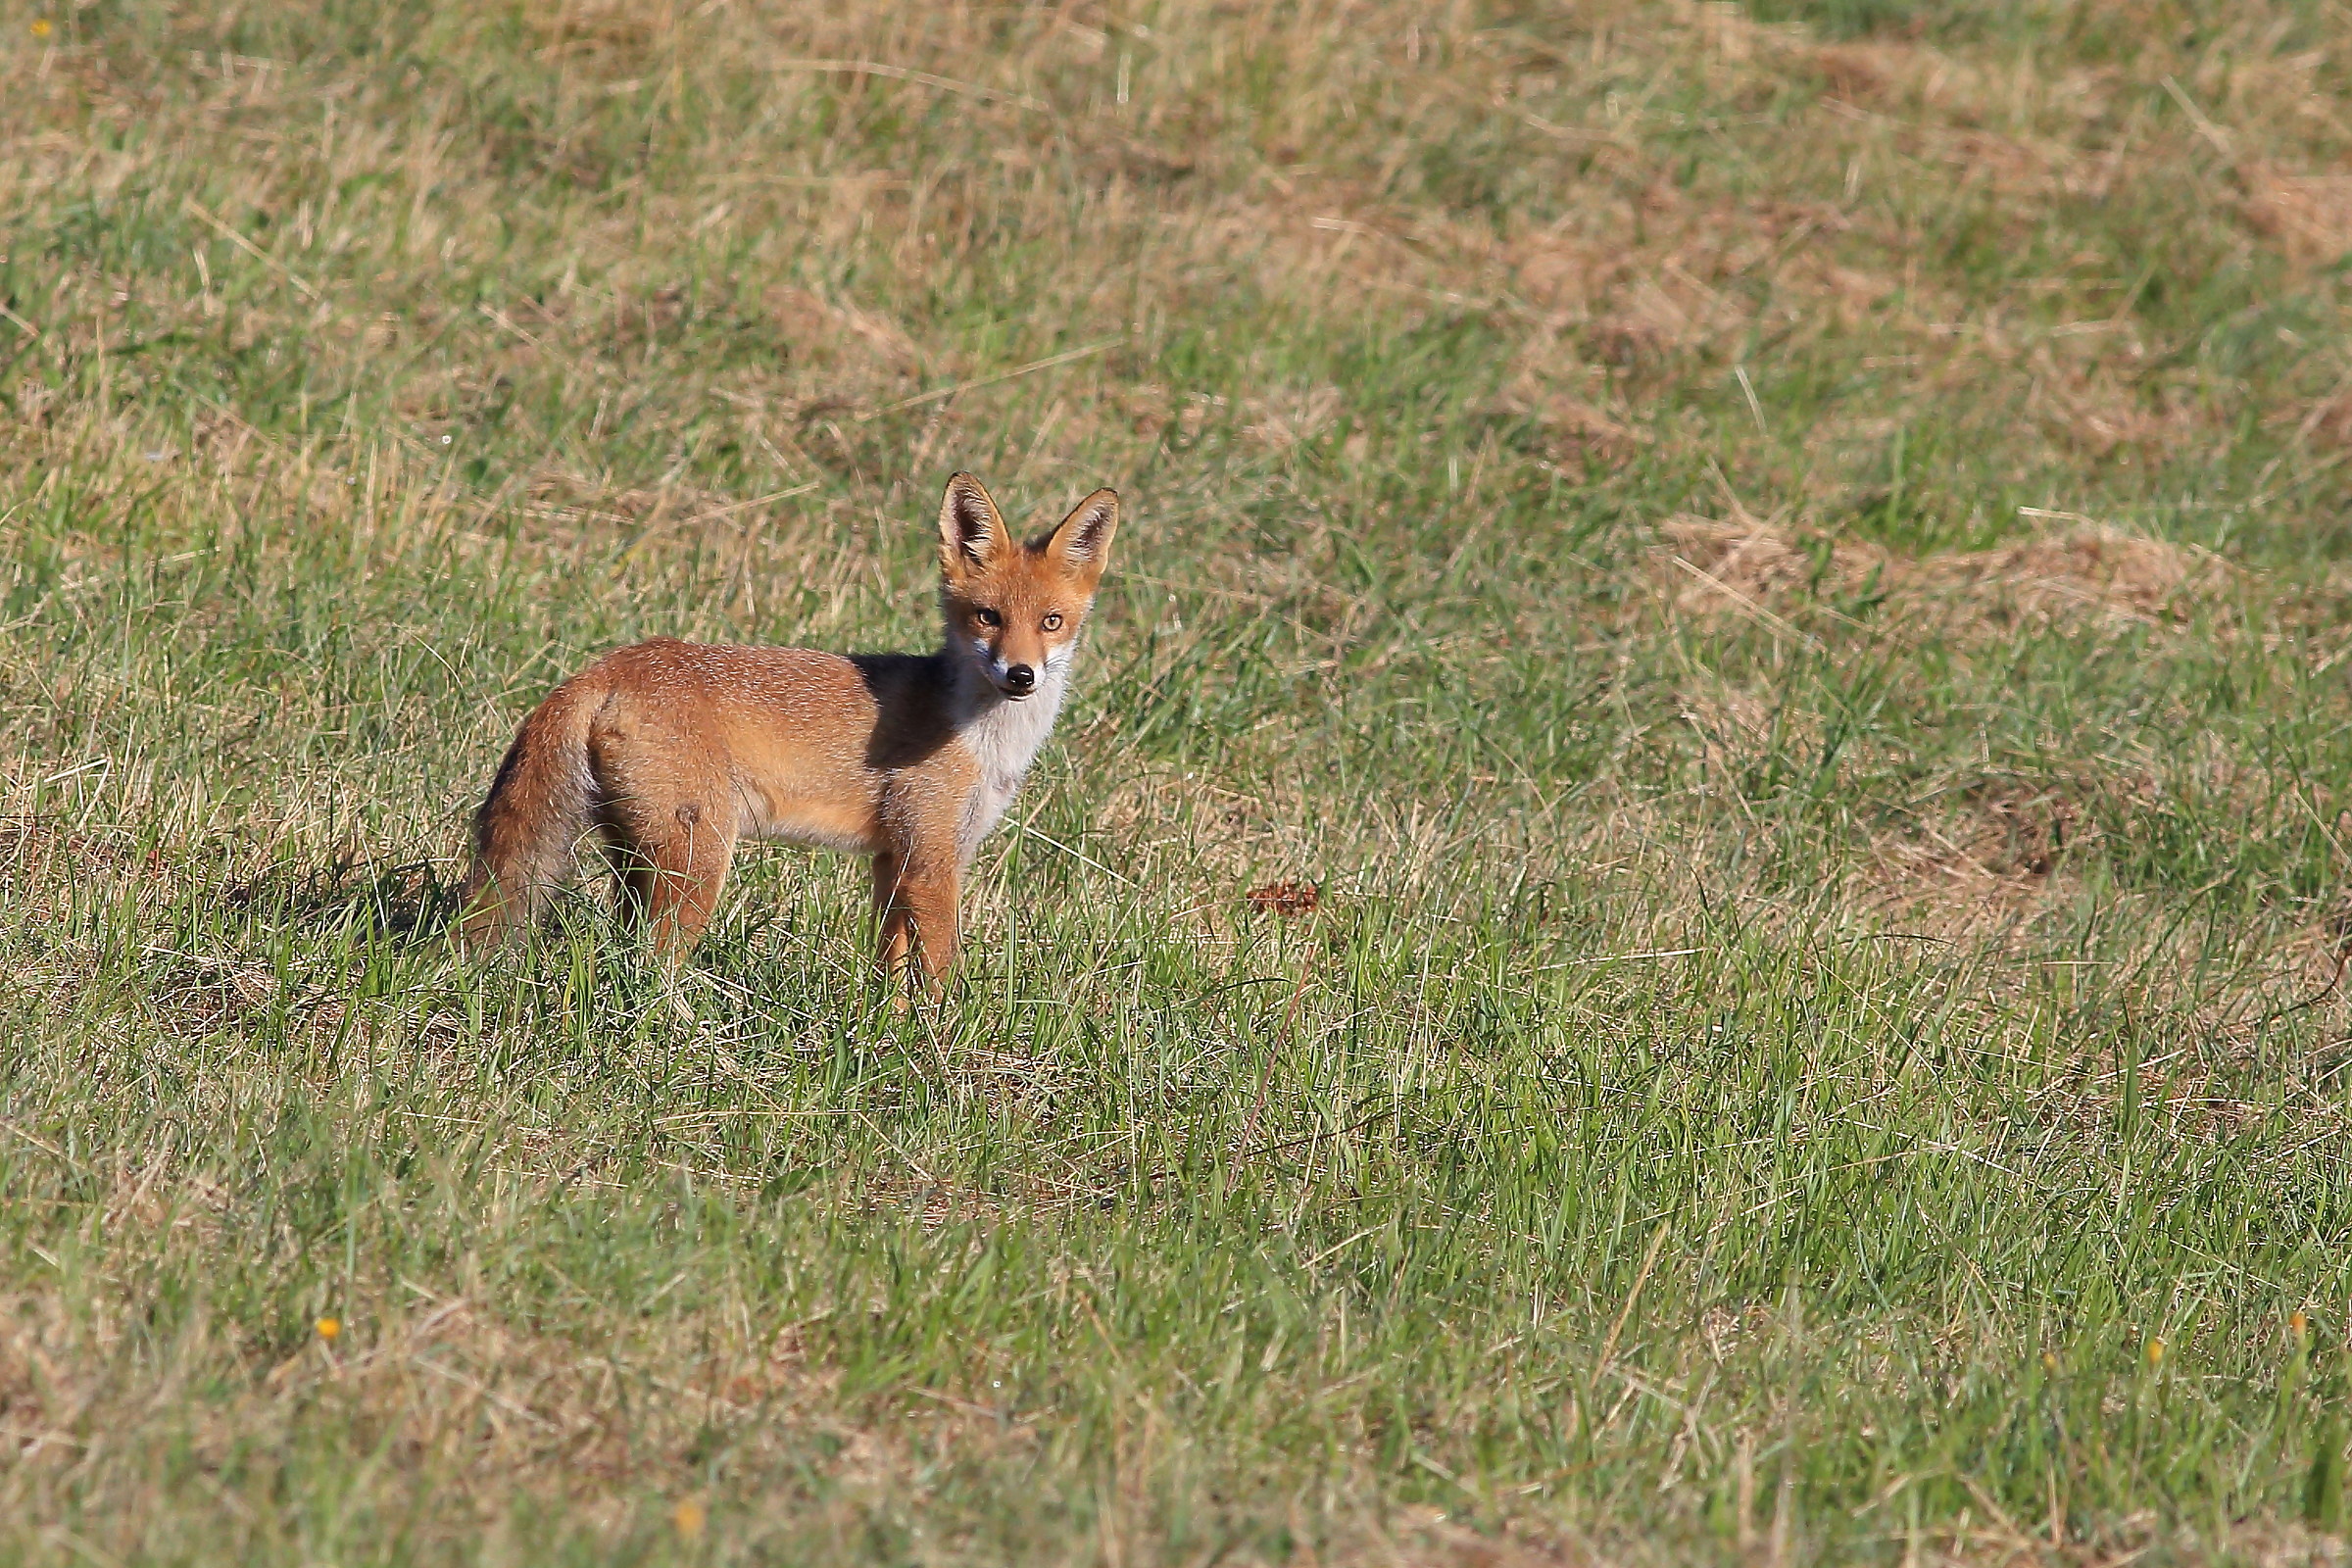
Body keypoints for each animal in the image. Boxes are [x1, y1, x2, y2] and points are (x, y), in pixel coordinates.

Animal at [455, 472, 1119, 986]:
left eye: (1052, 621)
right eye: (988, 617)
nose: (1021, 675)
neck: (980, 735)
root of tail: (608, 666)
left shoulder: (896, 859)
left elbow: (892, 970)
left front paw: (888, 1036)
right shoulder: (930, 861)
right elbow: (939, 973)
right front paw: (942, 1051)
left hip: (639, 854)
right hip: (699, 861)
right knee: (650, 961)